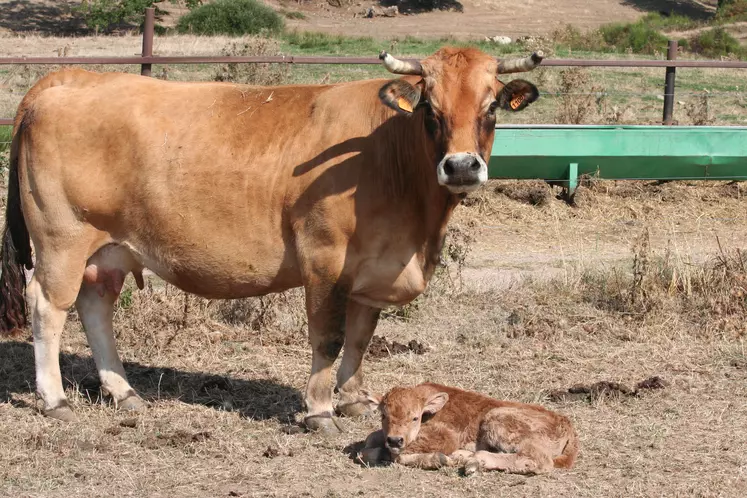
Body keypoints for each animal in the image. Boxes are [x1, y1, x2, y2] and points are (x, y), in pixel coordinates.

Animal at [0, 48, 536, 434]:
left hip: (108, 249)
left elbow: (361, 338)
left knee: (96, 307)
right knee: (48, 306)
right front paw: (320, 411)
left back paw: (125, 393)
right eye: (430, 108)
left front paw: (355, 401)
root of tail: (70, 79)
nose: (461, 166)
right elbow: (329, 336)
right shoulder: (325, 257)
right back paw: (55, 399)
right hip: (61, 240)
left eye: (491, 106)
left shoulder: (373, 268)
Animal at [360, 382, 580, 474]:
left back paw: (474, 462)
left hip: (497, 418)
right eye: (383, 415)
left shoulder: (446, 436)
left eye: (415, 417)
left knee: (538, 461)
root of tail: (567, 424)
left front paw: (439, 459)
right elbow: (369, 442)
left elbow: (394, 455)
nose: (395, 440)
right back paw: (465, 457)